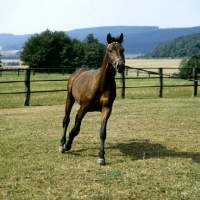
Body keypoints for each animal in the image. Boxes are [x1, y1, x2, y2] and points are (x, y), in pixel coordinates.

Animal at [58, 32, 126, 165]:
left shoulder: (107, 108)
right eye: (110, 50)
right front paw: (67, 145)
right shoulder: (84, 107)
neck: (101, 84)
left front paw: (101, 156)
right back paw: (62, 144)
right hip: (70, 99)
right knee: (66, 120)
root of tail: (78, 71)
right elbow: (76, 129)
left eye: (122, 50)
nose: (120, 66)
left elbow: (102, 132)